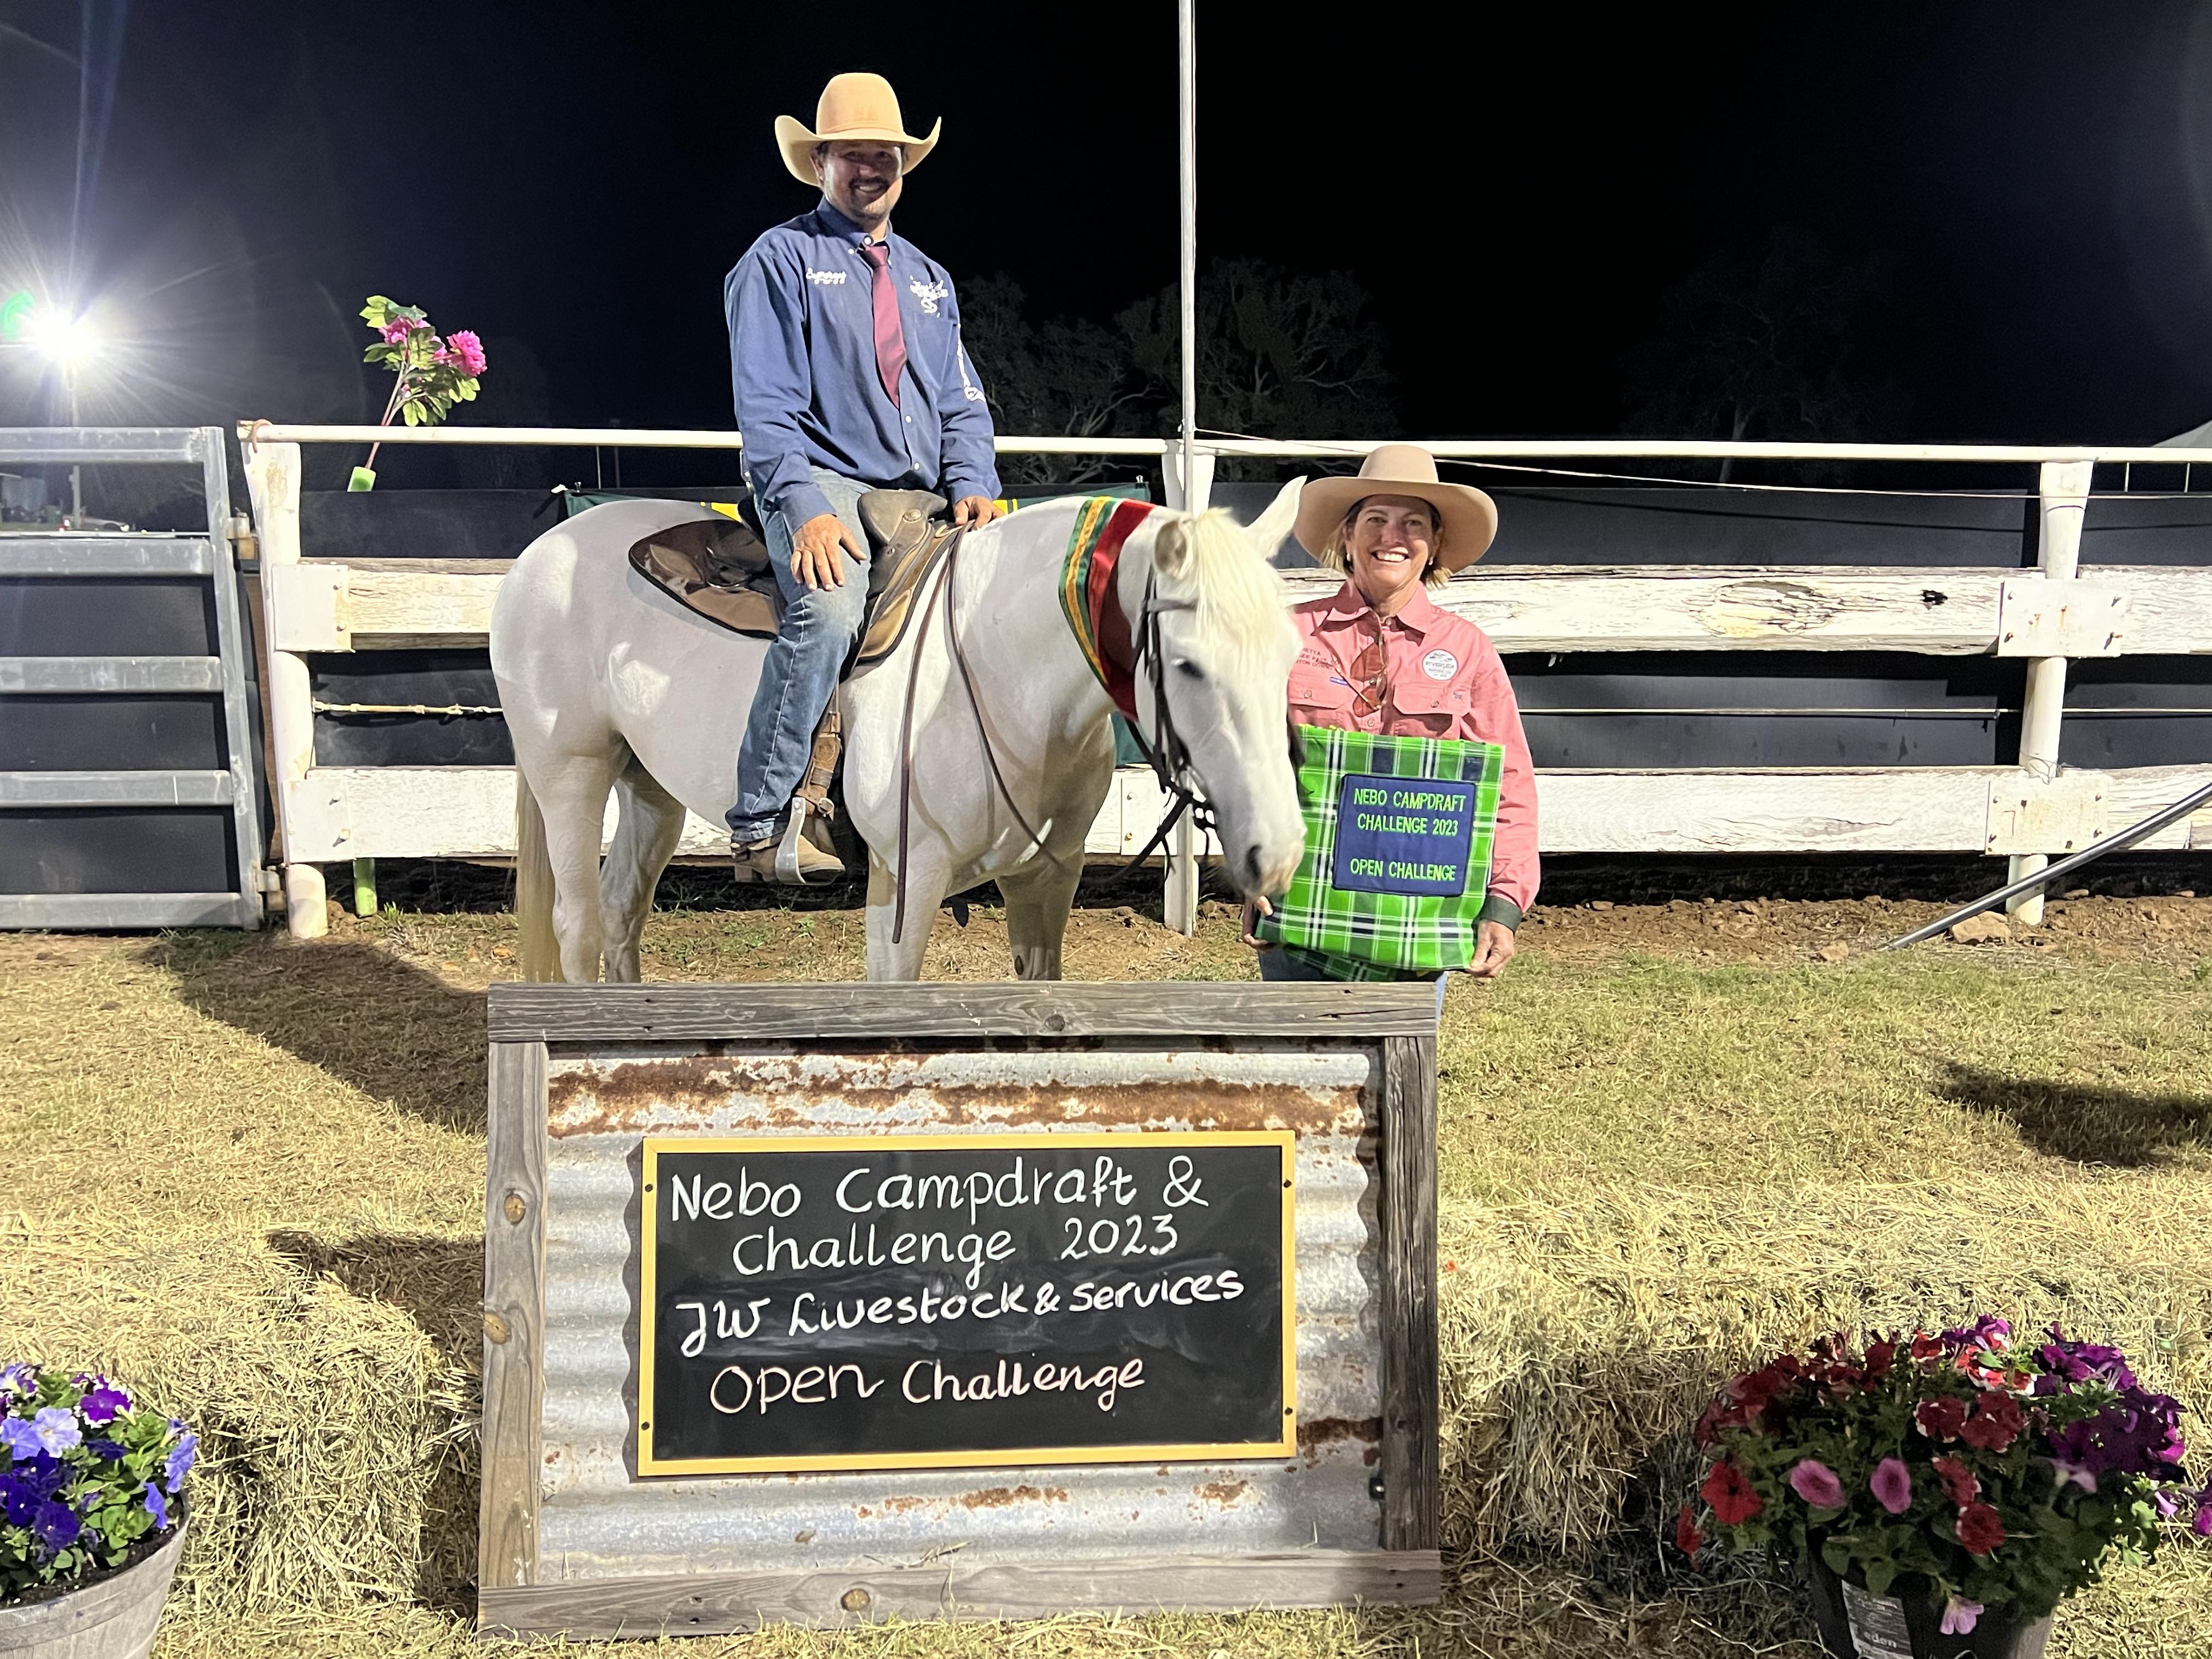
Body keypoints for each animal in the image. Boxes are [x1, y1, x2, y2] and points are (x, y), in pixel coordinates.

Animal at [489, 481, 1310, 983]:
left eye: (1290, 651)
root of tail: (542, 553)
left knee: (622, 911)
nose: (1278, 854)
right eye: (1188, 663)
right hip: (569, 774)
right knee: (577, 923)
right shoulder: (904, 884)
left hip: (649, 788)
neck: (995, 668)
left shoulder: (1048, 878)